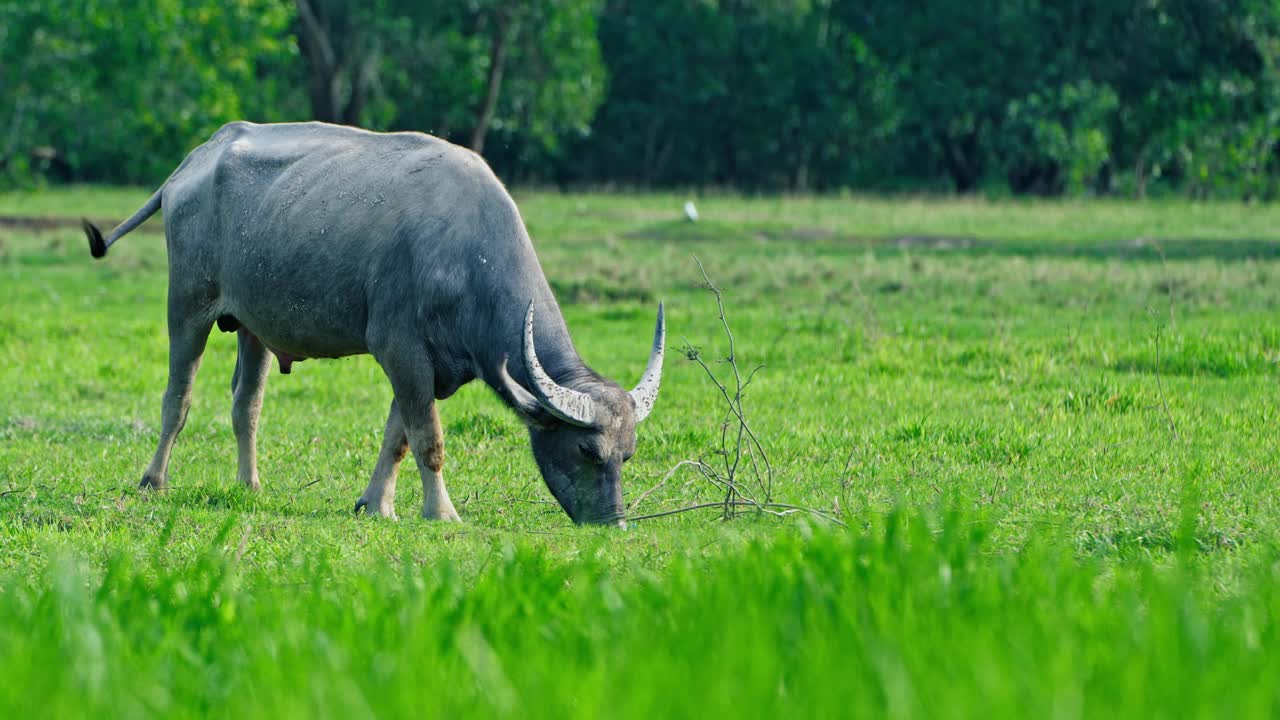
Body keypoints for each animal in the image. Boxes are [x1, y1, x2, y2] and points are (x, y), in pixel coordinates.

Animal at [81, 120, 665, 525]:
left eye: (628, 455)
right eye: (587, 450)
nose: (614, 523)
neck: (466, 254)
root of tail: (194, 161)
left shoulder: (429, 368)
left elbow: (397, 436)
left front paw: (375, 503)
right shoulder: (399, 348)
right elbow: (429, 439)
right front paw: (441, 512)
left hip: (252, 327)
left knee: (246, 405)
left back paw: (250, 485)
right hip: (188, 306)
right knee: (177, 398)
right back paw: (154, 479)